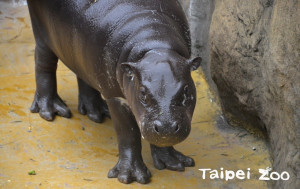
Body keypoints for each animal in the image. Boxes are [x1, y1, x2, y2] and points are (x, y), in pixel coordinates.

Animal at [27, 0, 202, 184]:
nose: (167, 127)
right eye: (142, 93)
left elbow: (159, 139)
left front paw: (175, 163)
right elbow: (128, 133)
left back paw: (96, 113)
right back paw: (51, 111)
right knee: (44, 64)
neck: (154, 44)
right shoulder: (115, 96)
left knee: (83, 74)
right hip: (42, 34)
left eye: (186, 90)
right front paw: (128, 177)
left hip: (81, 52)